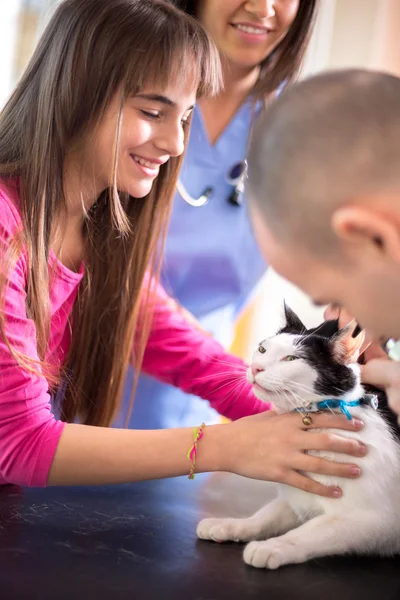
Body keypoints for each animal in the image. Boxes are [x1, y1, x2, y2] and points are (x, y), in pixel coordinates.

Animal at [196, 308, 400, 568]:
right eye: (262, 349)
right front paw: (232, 524)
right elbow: (265, 516)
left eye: (291, 359)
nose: (256, 368)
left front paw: (272, 546)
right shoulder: (296, 498)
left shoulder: (375, 519)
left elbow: (312, 531)